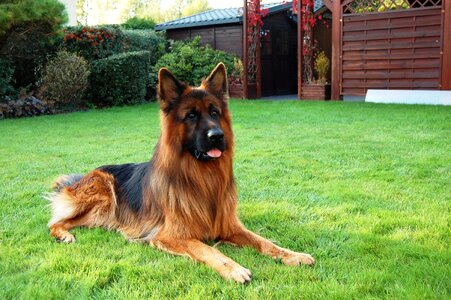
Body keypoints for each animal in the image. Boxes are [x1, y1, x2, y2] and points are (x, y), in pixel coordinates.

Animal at [46, 63, 314, 284]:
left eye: (215, 112)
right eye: (191, 115)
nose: (217, 136)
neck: (203, 178)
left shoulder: (229, 226)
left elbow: (264, 241)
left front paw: (294, 255)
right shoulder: (171, 236)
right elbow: (209, 249)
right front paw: (234, 268)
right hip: (103, 195)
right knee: (56, 222)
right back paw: (63, 235)